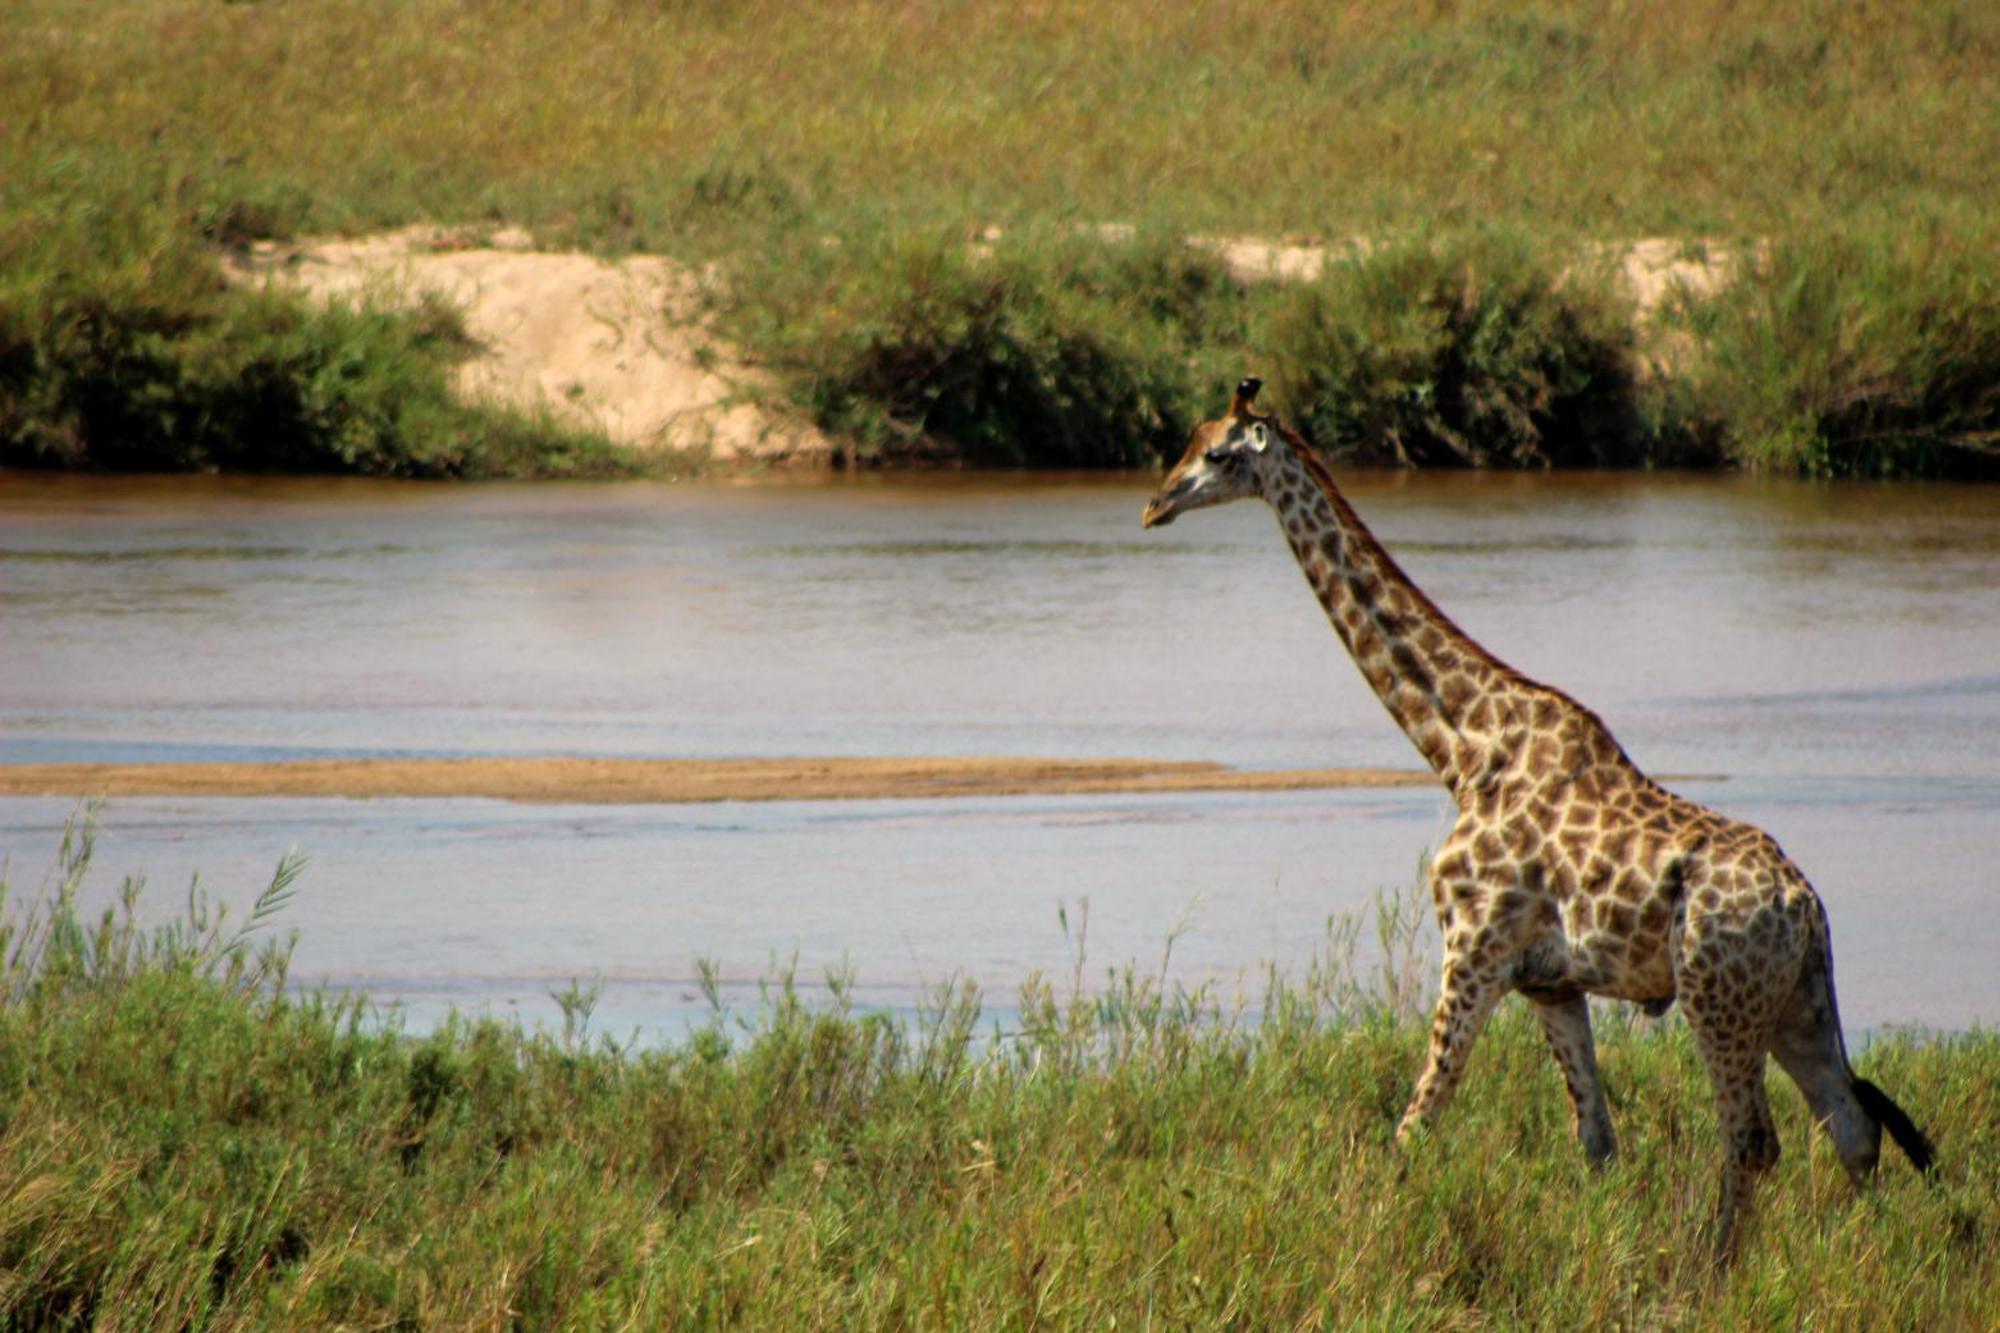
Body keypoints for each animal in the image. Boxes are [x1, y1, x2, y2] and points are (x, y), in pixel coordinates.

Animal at [1144, 376, 1936, 1256]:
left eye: (1218, 454)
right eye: (1189, 439)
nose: (1154, 504)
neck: (1464, 747)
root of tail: (1803, 904)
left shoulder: (1473, 950)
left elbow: (1416, 1123)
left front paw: (1369, 1236)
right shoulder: (1550, 983)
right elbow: (1596, 1140)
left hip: (1717, 997)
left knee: (1755, 1140)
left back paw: (1712, 1263)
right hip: (1797, 999)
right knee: (1851, 1124)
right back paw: (1853, 1256)